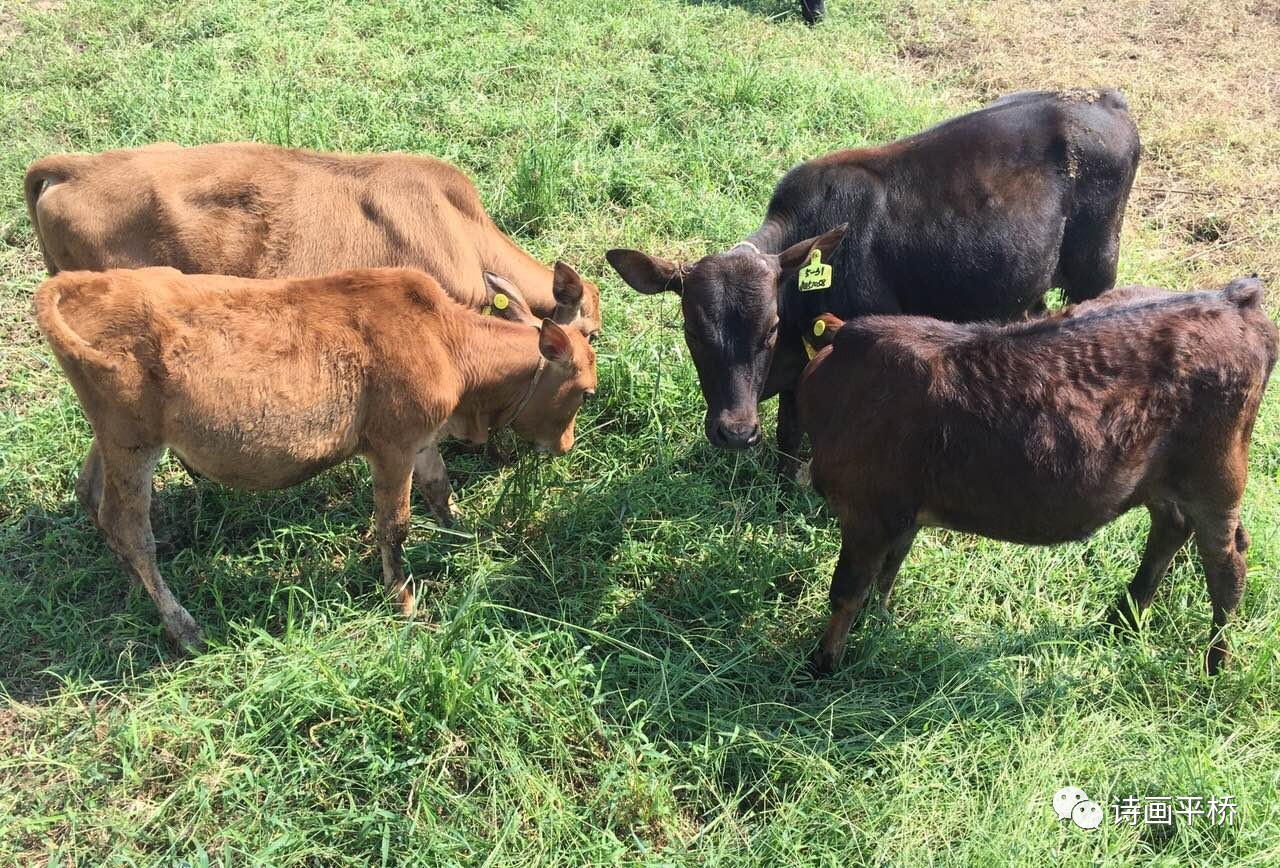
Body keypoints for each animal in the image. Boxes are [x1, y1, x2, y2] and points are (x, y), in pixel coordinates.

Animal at [30, 265, 599, 652]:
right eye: (586, 391)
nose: (566, 446)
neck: (445, 342)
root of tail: (81, 284)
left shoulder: (422, 441)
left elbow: (441, 492)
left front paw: (465, 540)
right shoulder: (391, 447)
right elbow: (394, 525)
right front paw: (404, 600)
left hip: (110, 440)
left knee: (93, 497)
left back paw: (133, 586)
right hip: (133, 443)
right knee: (130, 528)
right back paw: (181, 624)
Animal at [606, 91, 1141, 478]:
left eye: (769, 328)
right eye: (693, 332)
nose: (735, 433)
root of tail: (1106, 102)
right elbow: (788, 438)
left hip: (1098, 269)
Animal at [793, 281, 1274, 675]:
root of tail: (1232, 298)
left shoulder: (867, 511)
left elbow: (847, 589)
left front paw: (822, 663)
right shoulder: (900, 513)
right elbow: (888, 571)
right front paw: (878, 622)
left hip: (1217, 478)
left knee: (1226, 562)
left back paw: (1215, 665)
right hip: (1162, 479)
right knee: (1171, 528)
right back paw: (1122, 619)